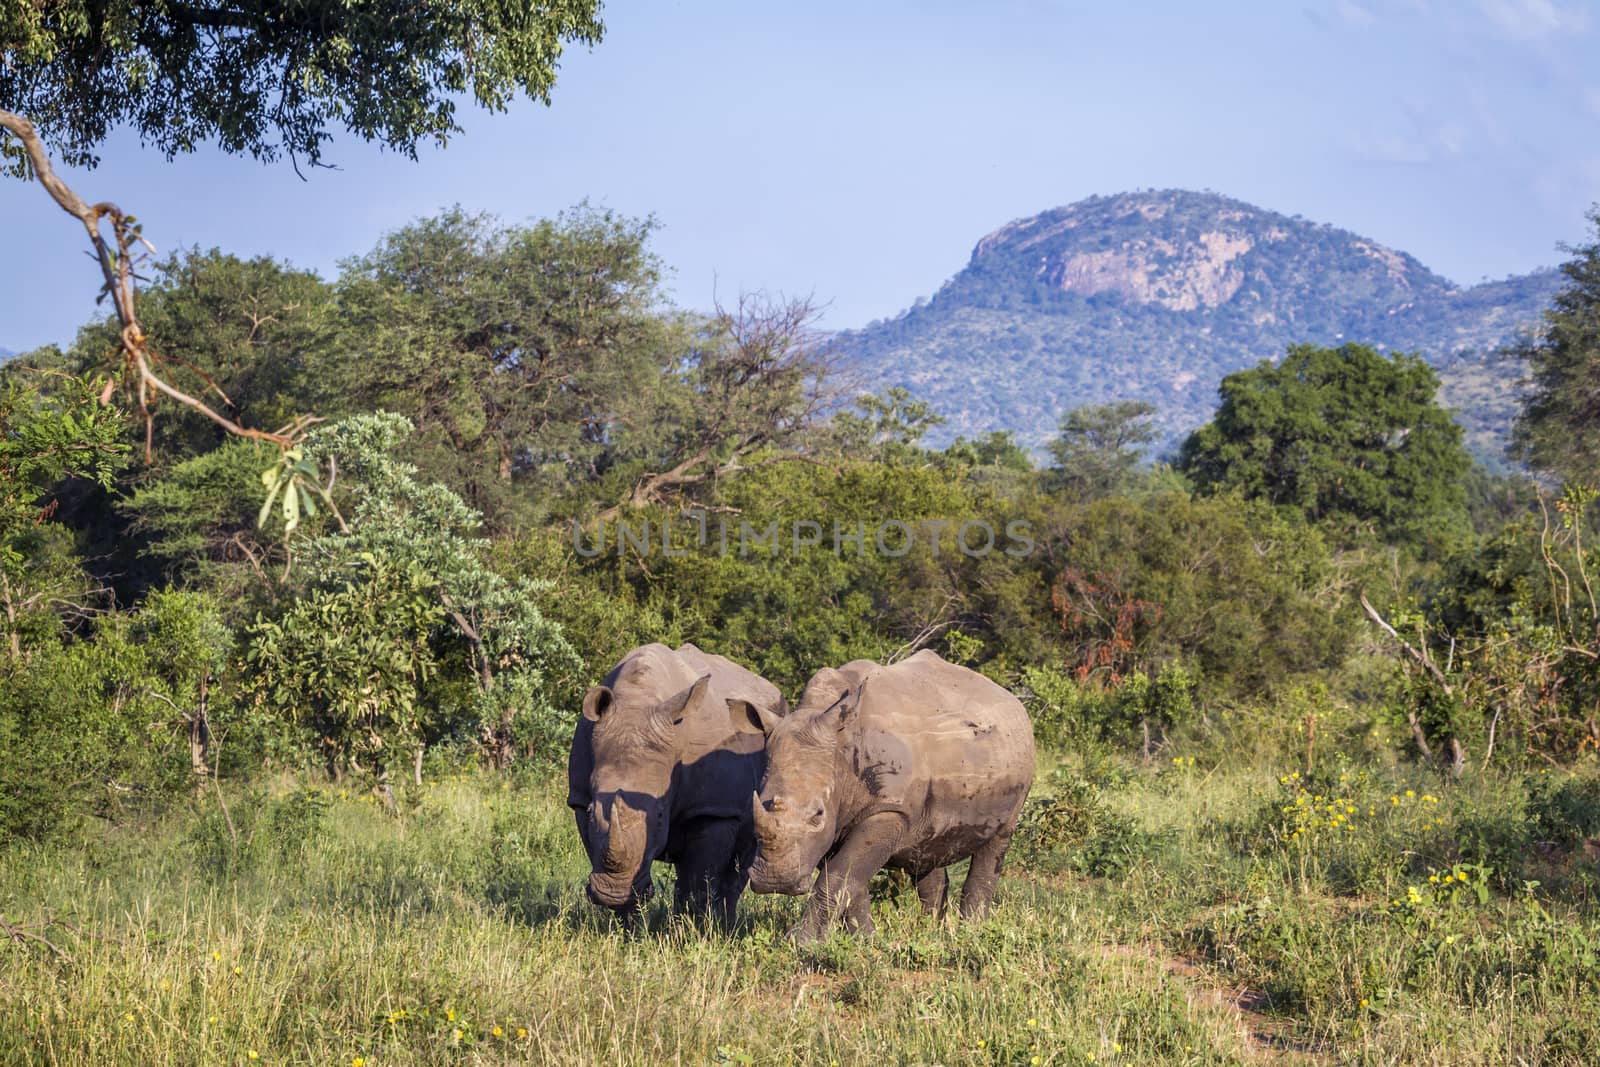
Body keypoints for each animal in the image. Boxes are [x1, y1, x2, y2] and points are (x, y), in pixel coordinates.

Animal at [569, 643, 787, 927]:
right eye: (590, 811)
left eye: (661, 815)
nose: (610, 892)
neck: (637, 700)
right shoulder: (579, 798)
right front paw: (629, 928)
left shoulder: (713, 808)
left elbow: (699, 881)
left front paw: (690, 930)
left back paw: (724, 926)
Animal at [739, 652, 1036, 940]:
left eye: (817, 815)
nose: (775, 881)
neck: (841, 751)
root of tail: (1013, 702)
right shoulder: (841, 816)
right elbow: (849, 878)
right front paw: (864, 940)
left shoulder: (888, 809)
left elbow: (838, 875)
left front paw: (801, 941)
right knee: (927, 847)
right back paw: (931, 932)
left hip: (1018, 764)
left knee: (996, 843)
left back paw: (971, 933)